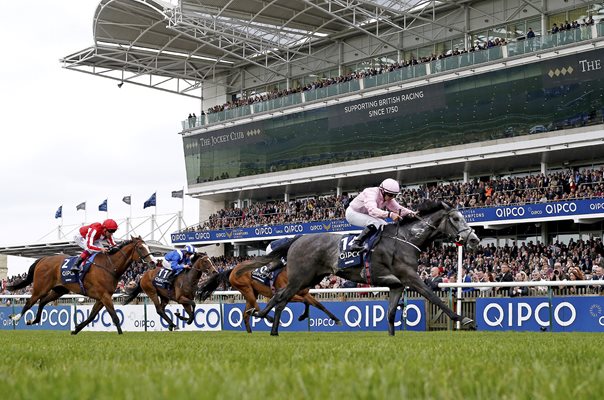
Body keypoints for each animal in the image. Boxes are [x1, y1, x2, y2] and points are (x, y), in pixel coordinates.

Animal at [7, 238, 152, 334]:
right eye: (141, 248)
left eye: (148, 247)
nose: (152, 262)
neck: (109, 266)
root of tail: (43, 259)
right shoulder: (104, 296)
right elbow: (115, 317)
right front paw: (121, 334)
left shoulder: (103, 297)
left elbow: (92, 316)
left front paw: (76, 329)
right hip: (41, 287)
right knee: (30, 302)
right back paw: (16, 318)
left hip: (59, 290)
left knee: (42, 301)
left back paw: (33, 320)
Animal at [198, 258, 340, 332]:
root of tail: (233, 269)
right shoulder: (287, 294)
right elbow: (305, 302)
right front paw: (302, 316)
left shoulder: (304, 293)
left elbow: (319, 305)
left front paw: (336, 319)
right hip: (247, 289)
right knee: (255, 308)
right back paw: (269, 318)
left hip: (251, 292)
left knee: (246, 313)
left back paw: (250, 332)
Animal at [237, 199, 482, 334]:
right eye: (456, 219)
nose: (474, 239)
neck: (405, 239)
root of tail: (297, 239)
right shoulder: (410, 277)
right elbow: (433, 297)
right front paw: (463, 319)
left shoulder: (396, 284)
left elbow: (391, 314)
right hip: (300, 278)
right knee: (280, 297)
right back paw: (265, 319)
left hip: (311, 279)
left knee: (282, 298)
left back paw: (269, 324)